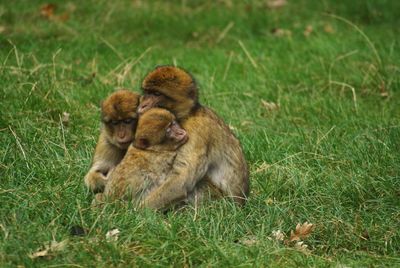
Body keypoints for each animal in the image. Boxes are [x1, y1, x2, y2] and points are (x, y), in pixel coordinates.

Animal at [138, 65, 250, 209]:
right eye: (147, 92)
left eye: (156, 94)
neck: (188, 114)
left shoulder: (195, 132)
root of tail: (242, 203)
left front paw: (136, 210)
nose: (142, 105)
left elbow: (182, 180)